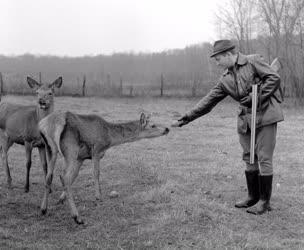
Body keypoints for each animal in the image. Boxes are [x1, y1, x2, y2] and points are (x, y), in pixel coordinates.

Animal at [38, 110, 169, 224]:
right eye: (153, 125)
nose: (167, 129)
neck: (109, 137)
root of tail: (47, 126)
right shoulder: (96, 149)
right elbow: (96, 173)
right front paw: (98, 197)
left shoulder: (81, 157)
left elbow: (74, 176)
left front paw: (60, 199)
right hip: (70, 148)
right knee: (63, 176)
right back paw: (77, 217)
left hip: (50, 148)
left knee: (50, 176)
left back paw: (43, 209)